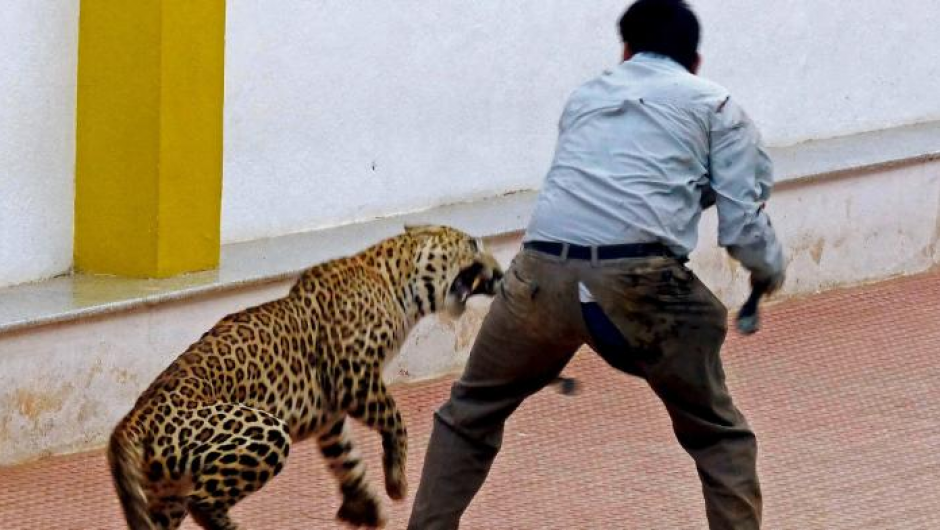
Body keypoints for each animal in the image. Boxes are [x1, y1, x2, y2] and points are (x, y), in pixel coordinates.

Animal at [108, 224, 506, 528]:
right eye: (473, 244)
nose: (501, 274)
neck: (395, 283)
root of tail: (130, 423)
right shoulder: (354, 377)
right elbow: (396, 420)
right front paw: (396, 482)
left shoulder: (331, 414)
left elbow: (346, 458)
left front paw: (364, 506)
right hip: (264, 431)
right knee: (202, 501)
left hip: (165, 492)